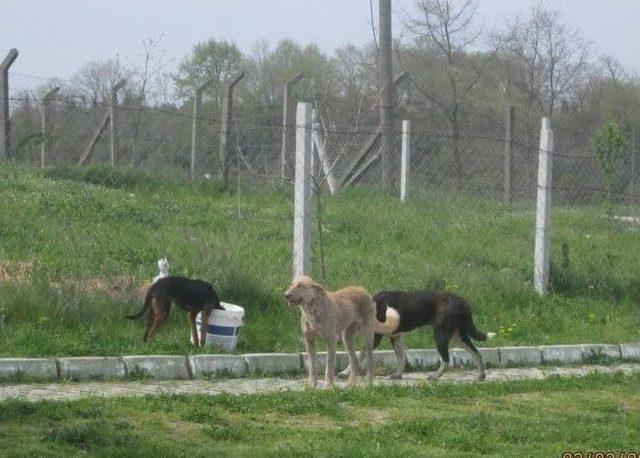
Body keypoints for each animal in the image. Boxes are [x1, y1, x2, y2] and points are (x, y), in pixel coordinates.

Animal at [340, 292, 496, 382]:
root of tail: (463, 302)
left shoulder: (375, 338)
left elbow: (358, 355)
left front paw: (345, 372)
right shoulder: (396, 336)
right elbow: (400, 357)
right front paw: (398, 374)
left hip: (440, 335)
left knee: (446, 359)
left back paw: (435, 376)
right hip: (458, 337)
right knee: (476, 352)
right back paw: (481, 375)